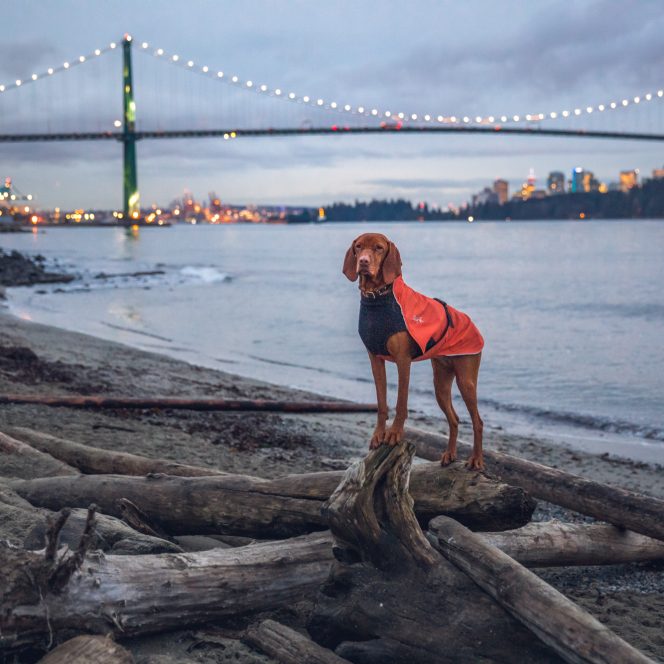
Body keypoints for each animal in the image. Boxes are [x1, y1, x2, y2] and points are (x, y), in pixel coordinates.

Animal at [344, 233, 486, 472]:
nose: (363, 261)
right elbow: (381, 403)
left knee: (477, 421)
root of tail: (471, 322)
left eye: (379, 248)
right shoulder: (375, 360)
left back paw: (475, 460)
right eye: (358, 247)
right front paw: (378, 435)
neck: (378, 297)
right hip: (440, 382)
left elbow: (401, 402)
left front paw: (393, 434)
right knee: (454, 419)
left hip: (466, 378)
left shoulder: (403, 361)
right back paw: (449, 454)